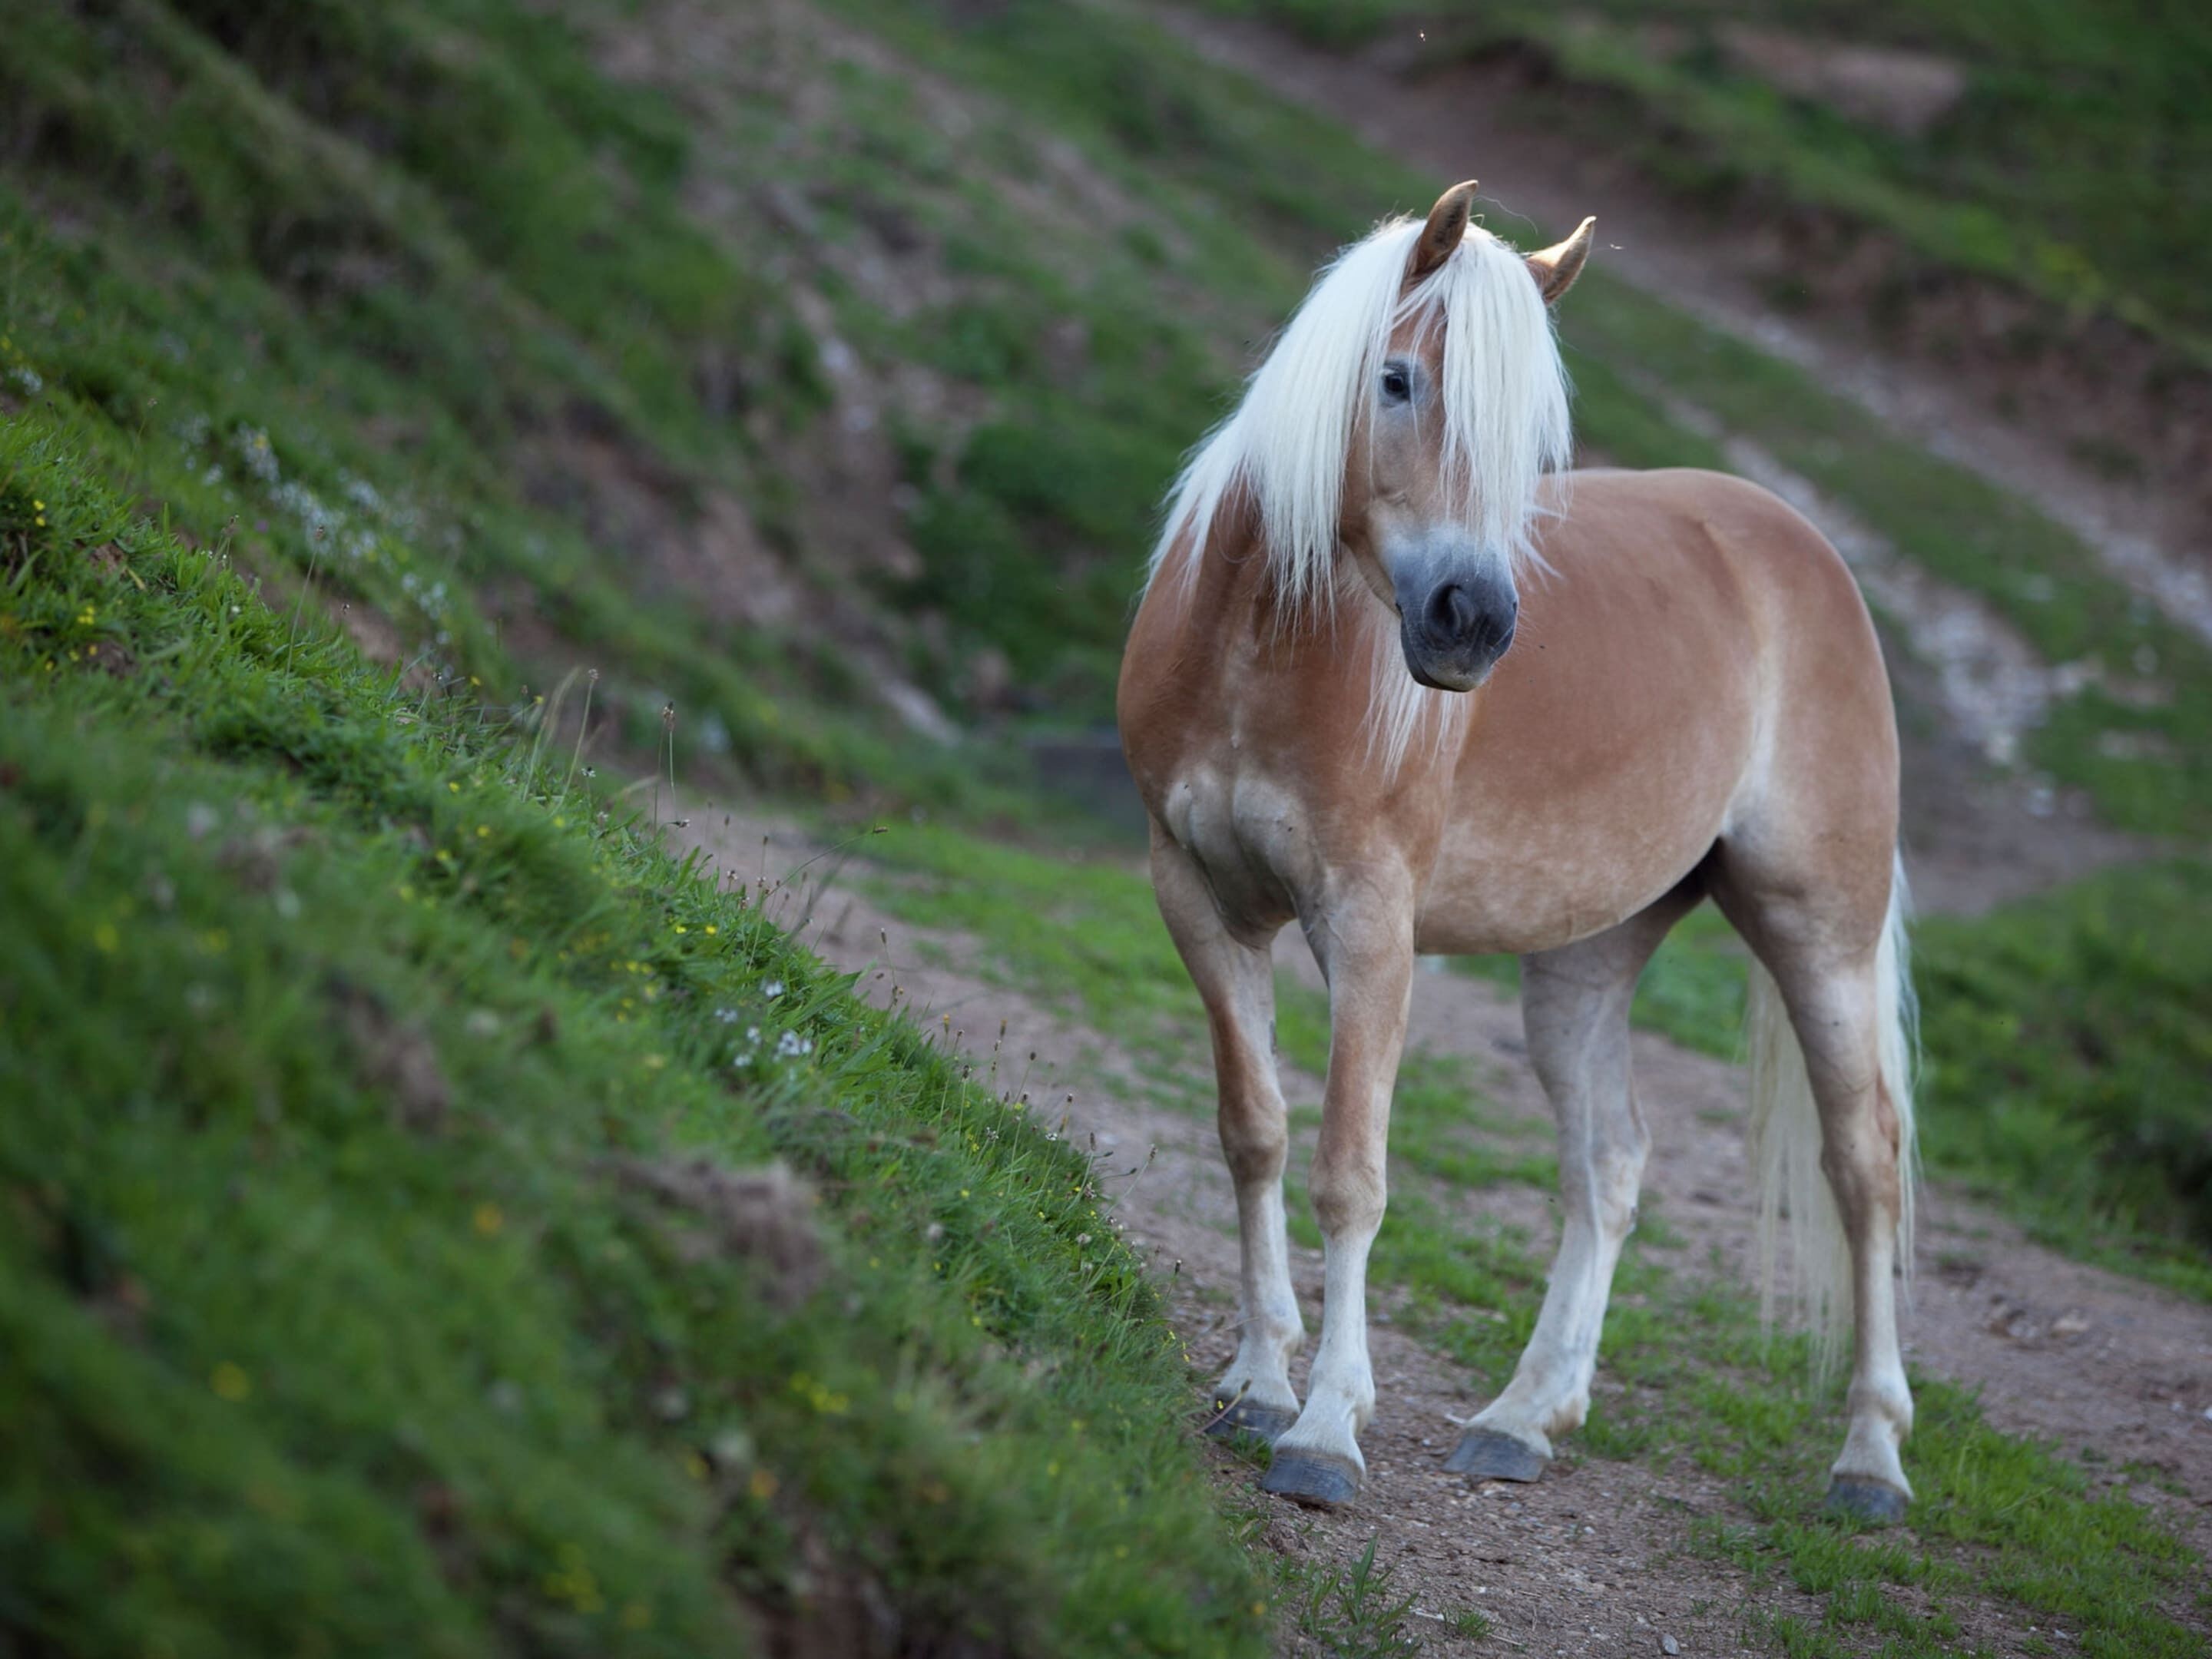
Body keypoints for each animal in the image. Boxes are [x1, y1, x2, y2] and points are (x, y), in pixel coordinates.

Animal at [1116, 181, 1918, 1521]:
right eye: (1395, 380)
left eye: (1536, 443)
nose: (1473, 623)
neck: (1254, 653)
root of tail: (1793, 545)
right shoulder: (1198, 902)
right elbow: (1253, 1134)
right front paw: (1260, 1384)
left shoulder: (1369, 928)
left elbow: (1350, 1170)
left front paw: (1325, 1433)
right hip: (1589, 957)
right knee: (1611, 1166)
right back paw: (1523, 1419)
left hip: (1821, 934)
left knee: (1864, 1171)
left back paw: (1871, 1460)